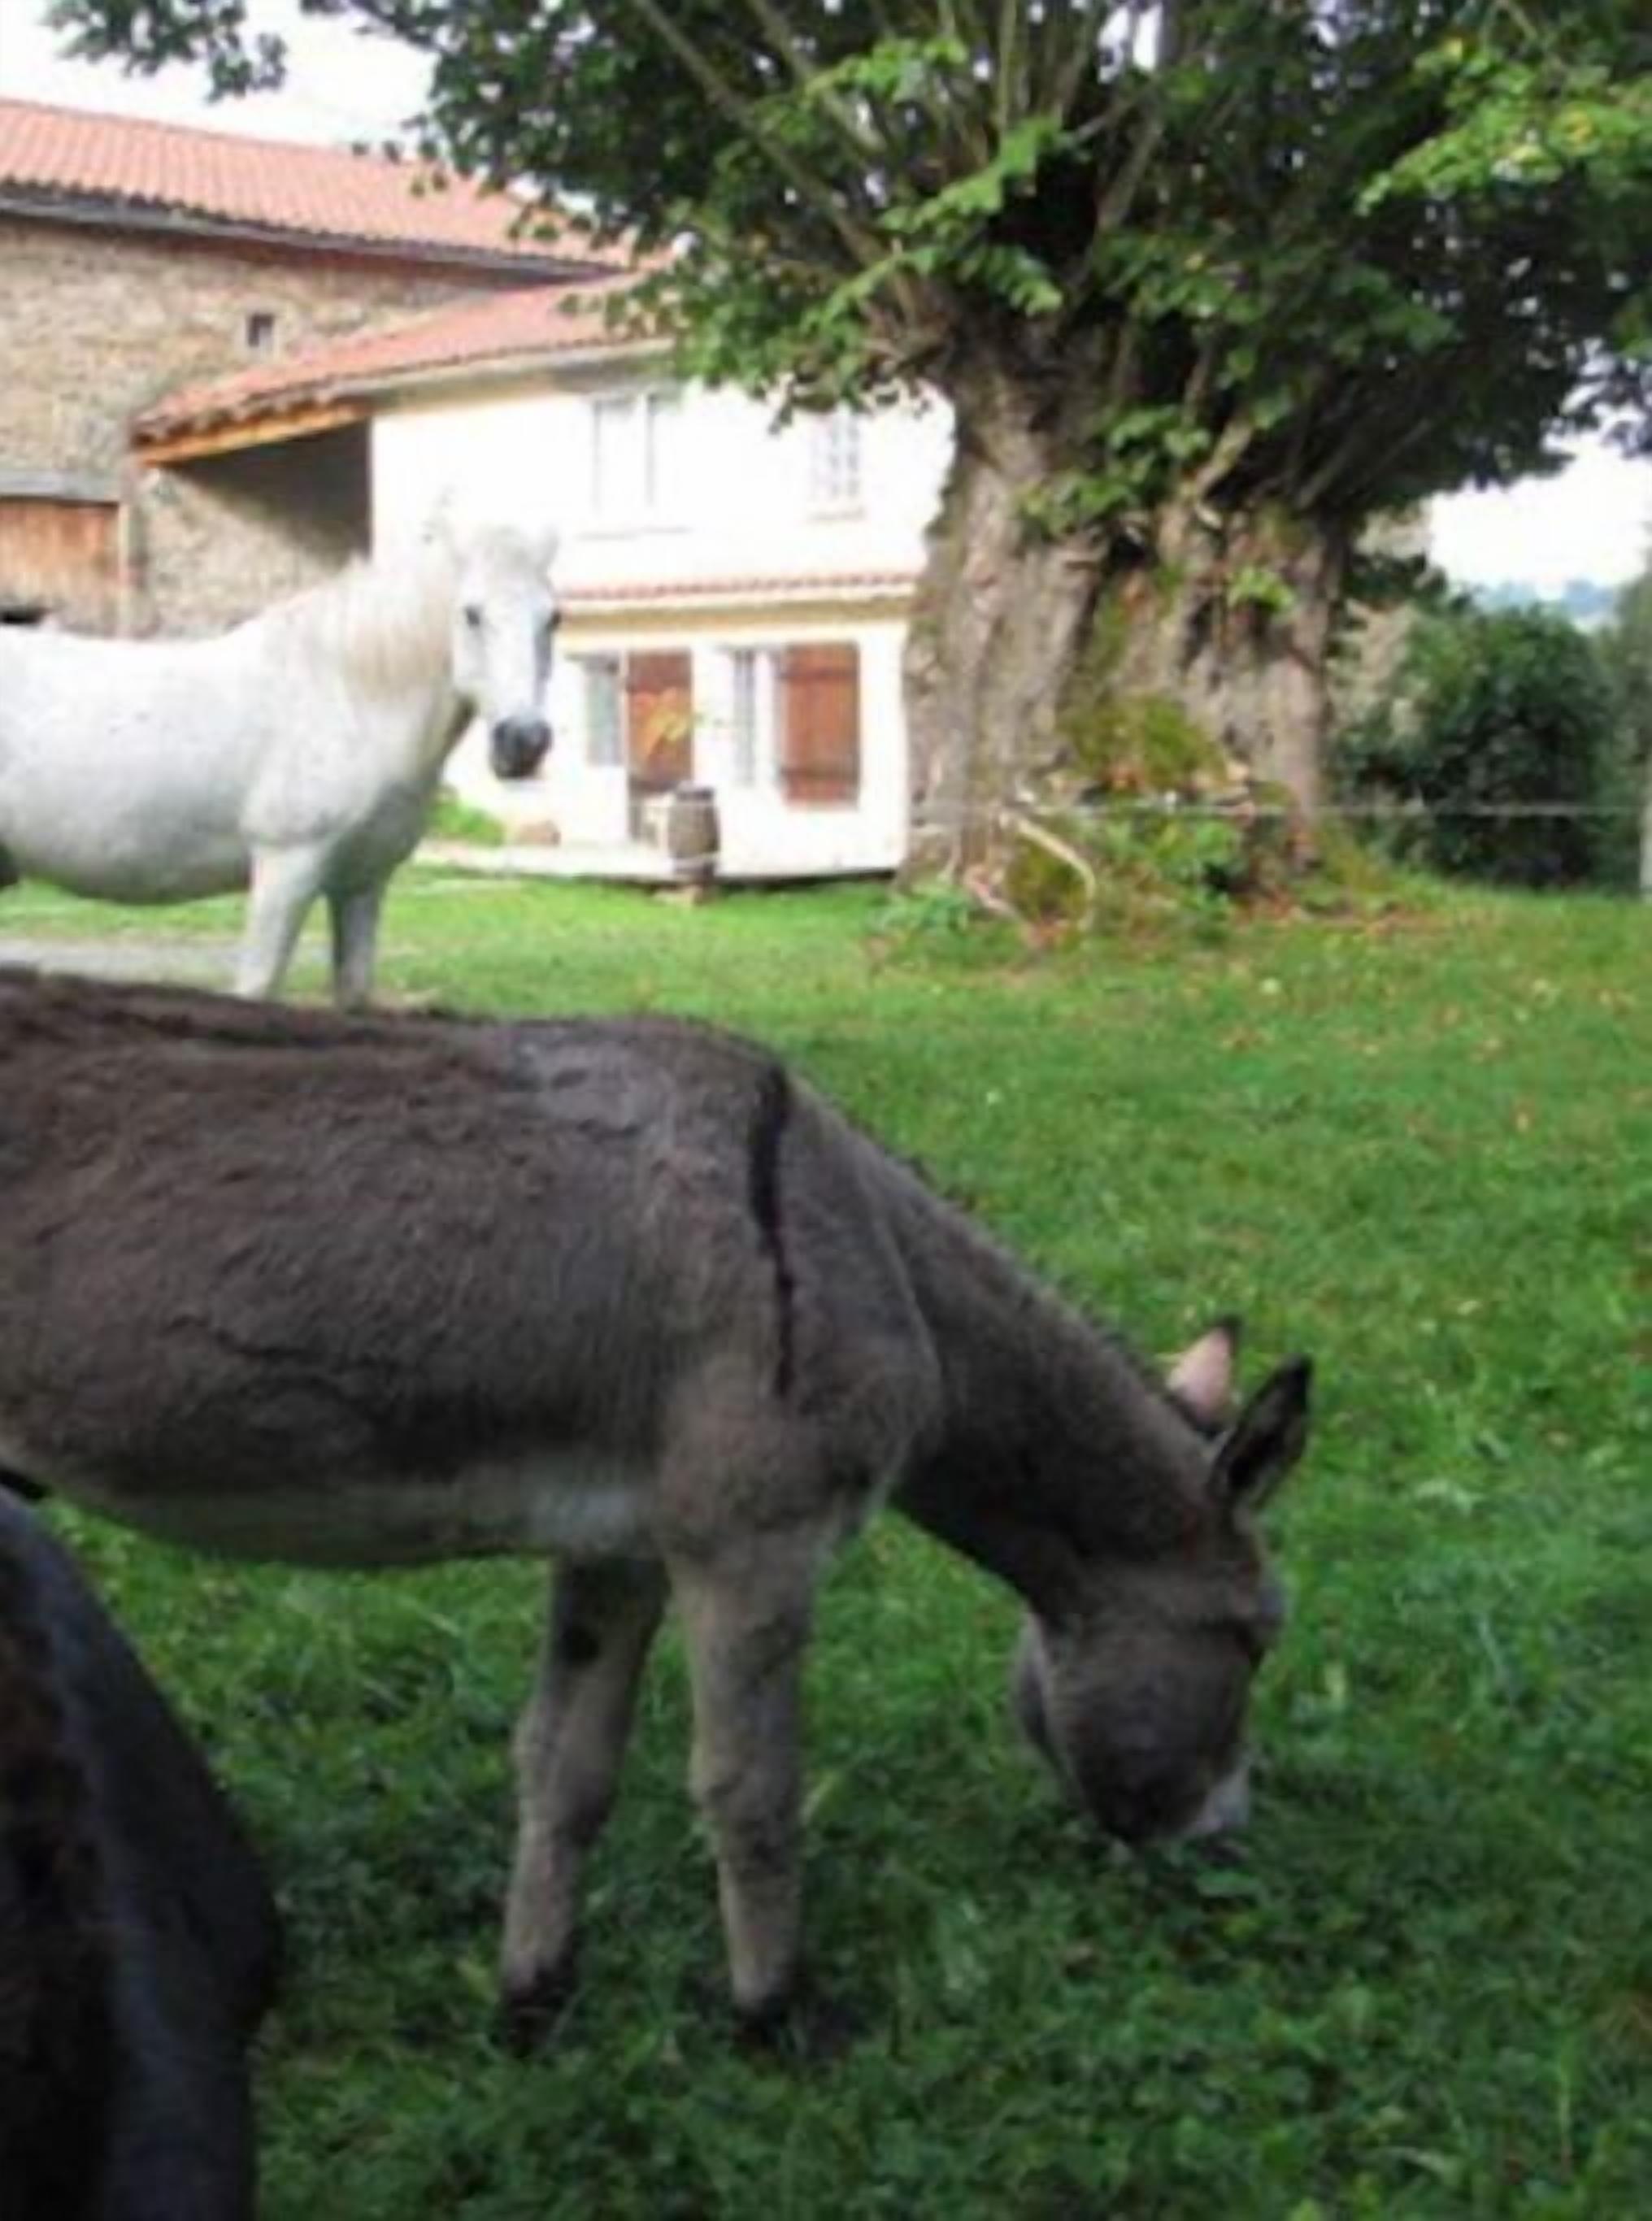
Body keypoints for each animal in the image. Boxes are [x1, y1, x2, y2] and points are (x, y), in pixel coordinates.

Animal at [0, 523, 560, 1006]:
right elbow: (257, 986)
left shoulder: (362, 883)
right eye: (472, 614)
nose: (524, 741)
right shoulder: (286, 869)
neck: (349, 697)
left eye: (553, 619)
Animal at [0, 970, 1311, 2043]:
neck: (872, 1254)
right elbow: (751, 1791)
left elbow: (566, 1769)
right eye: (1258, 1638)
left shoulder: (616, 1553)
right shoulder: (754, 1552)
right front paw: (775, 2017)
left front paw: (532, 2001)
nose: (1224, 1839)